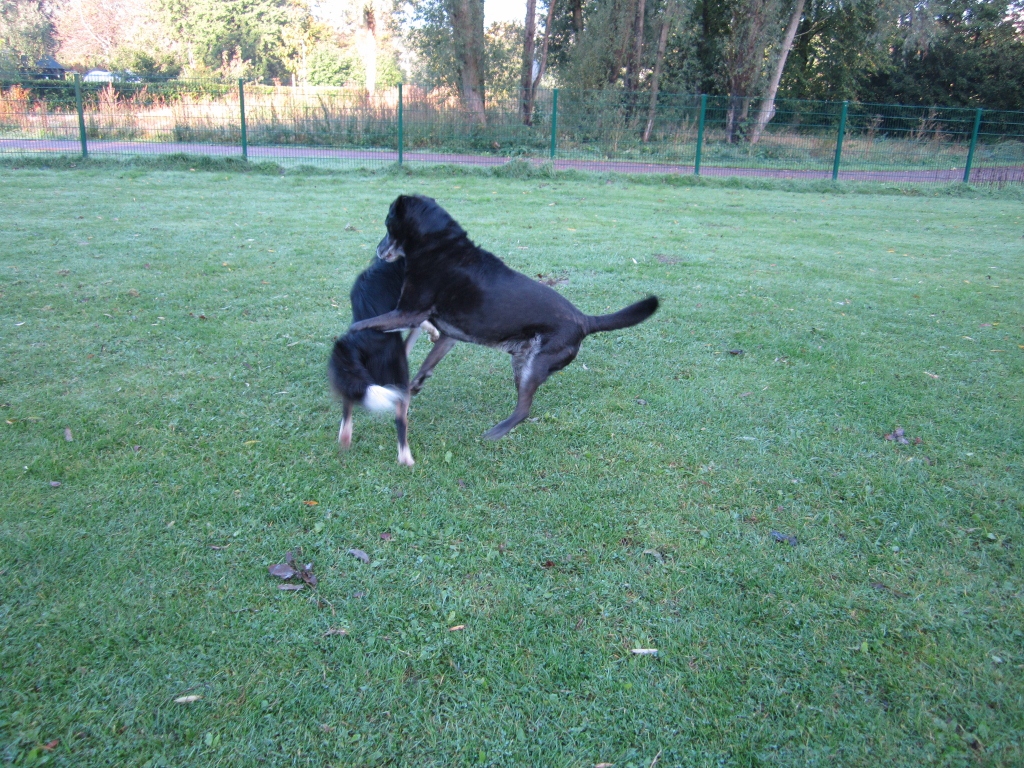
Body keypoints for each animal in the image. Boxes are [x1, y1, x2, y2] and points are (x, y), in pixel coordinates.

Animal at [328, 253, 438, 466]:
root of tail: (354, 341)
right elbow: (422, 321)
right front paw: (433, 331)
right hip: (399, 375)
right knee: (400, 419)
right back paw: (405, 458)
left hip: (359, 374)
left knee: (348, 400)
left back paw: (344, 437)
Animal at [349, 194, 659, 439]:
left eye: (388, 225)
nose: (377, 250)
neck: (442, 247)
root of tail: (584, 319)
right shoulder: (445, 333)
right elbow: (421, 359)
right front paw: (411, 386)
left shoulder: (408, 312)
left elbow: (360, 325)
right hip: (521, 364)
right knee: (526, 405)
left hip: (535, 365)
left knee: (523, 409)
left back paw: (497, 432)